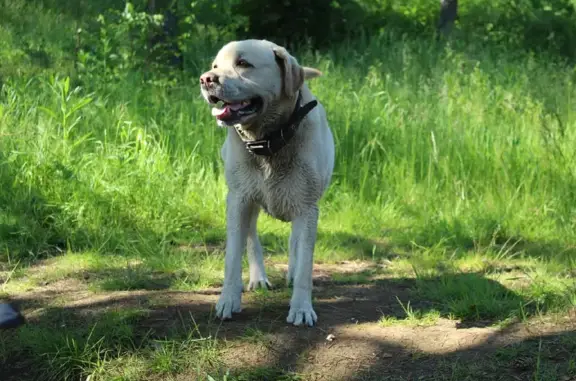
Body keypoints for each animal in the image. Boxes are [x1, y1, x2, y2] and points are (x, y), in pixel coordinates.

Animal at [199, 38, 336, 326]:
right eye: (215, 66)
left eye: (243, 63)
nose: (206, 79)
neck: (269, 140)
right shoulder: (238, 200)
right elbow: (232, 256)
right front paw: (228, 300)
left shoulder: (307, 208)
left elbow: (305, 262)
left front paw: (301, 308)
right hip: (248, 202)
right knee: (251, 236)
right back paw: (258, 277)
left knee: (294, 242)